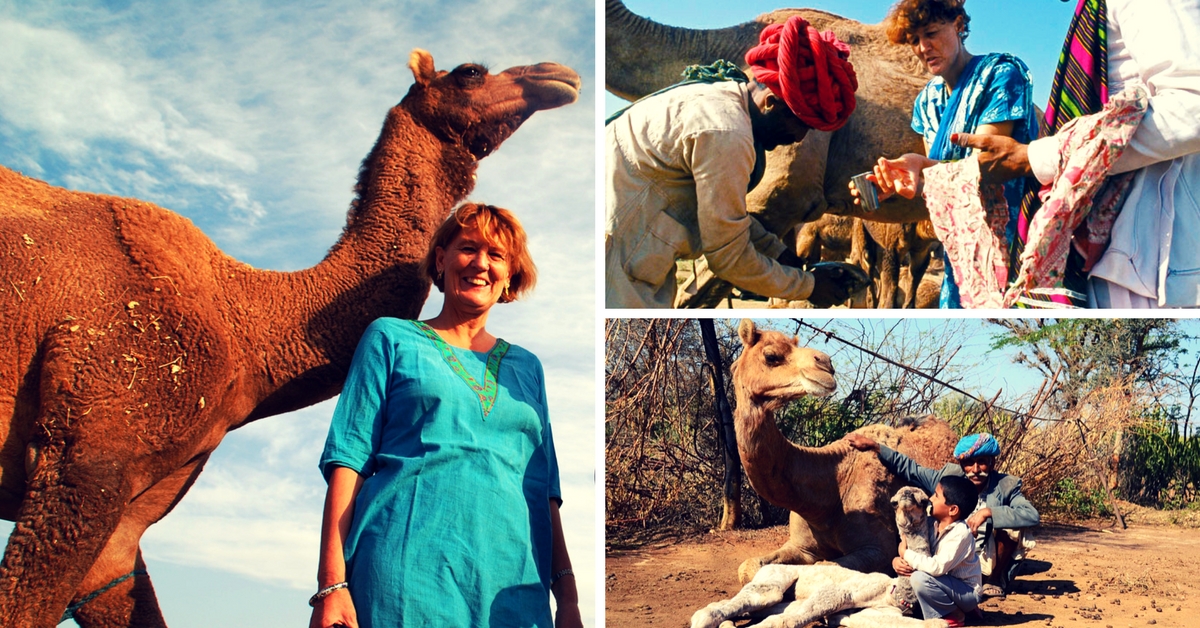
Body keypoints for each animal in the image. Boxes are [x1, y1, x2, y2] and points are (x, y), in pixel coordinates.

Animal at [724, 321, 950, 583]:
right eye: (771, 356)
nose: (825, 364)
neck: (825, 499)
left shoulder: (879, 549)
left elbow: (826, 568)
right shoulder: (801, 547)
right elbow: (748, 567)